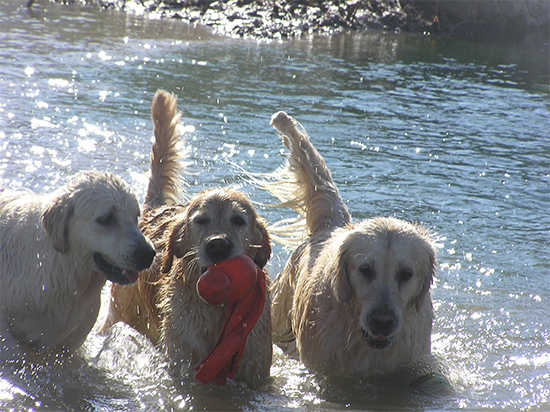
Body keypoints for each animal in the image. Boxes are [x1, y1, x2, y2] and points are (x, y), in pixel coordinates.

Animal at [101, 91, 274, 386]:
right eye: (201, 220)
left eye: (239, 221)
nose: (218, 245)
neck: (219, 311)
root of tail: (154, 210)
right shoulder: (184, 363)